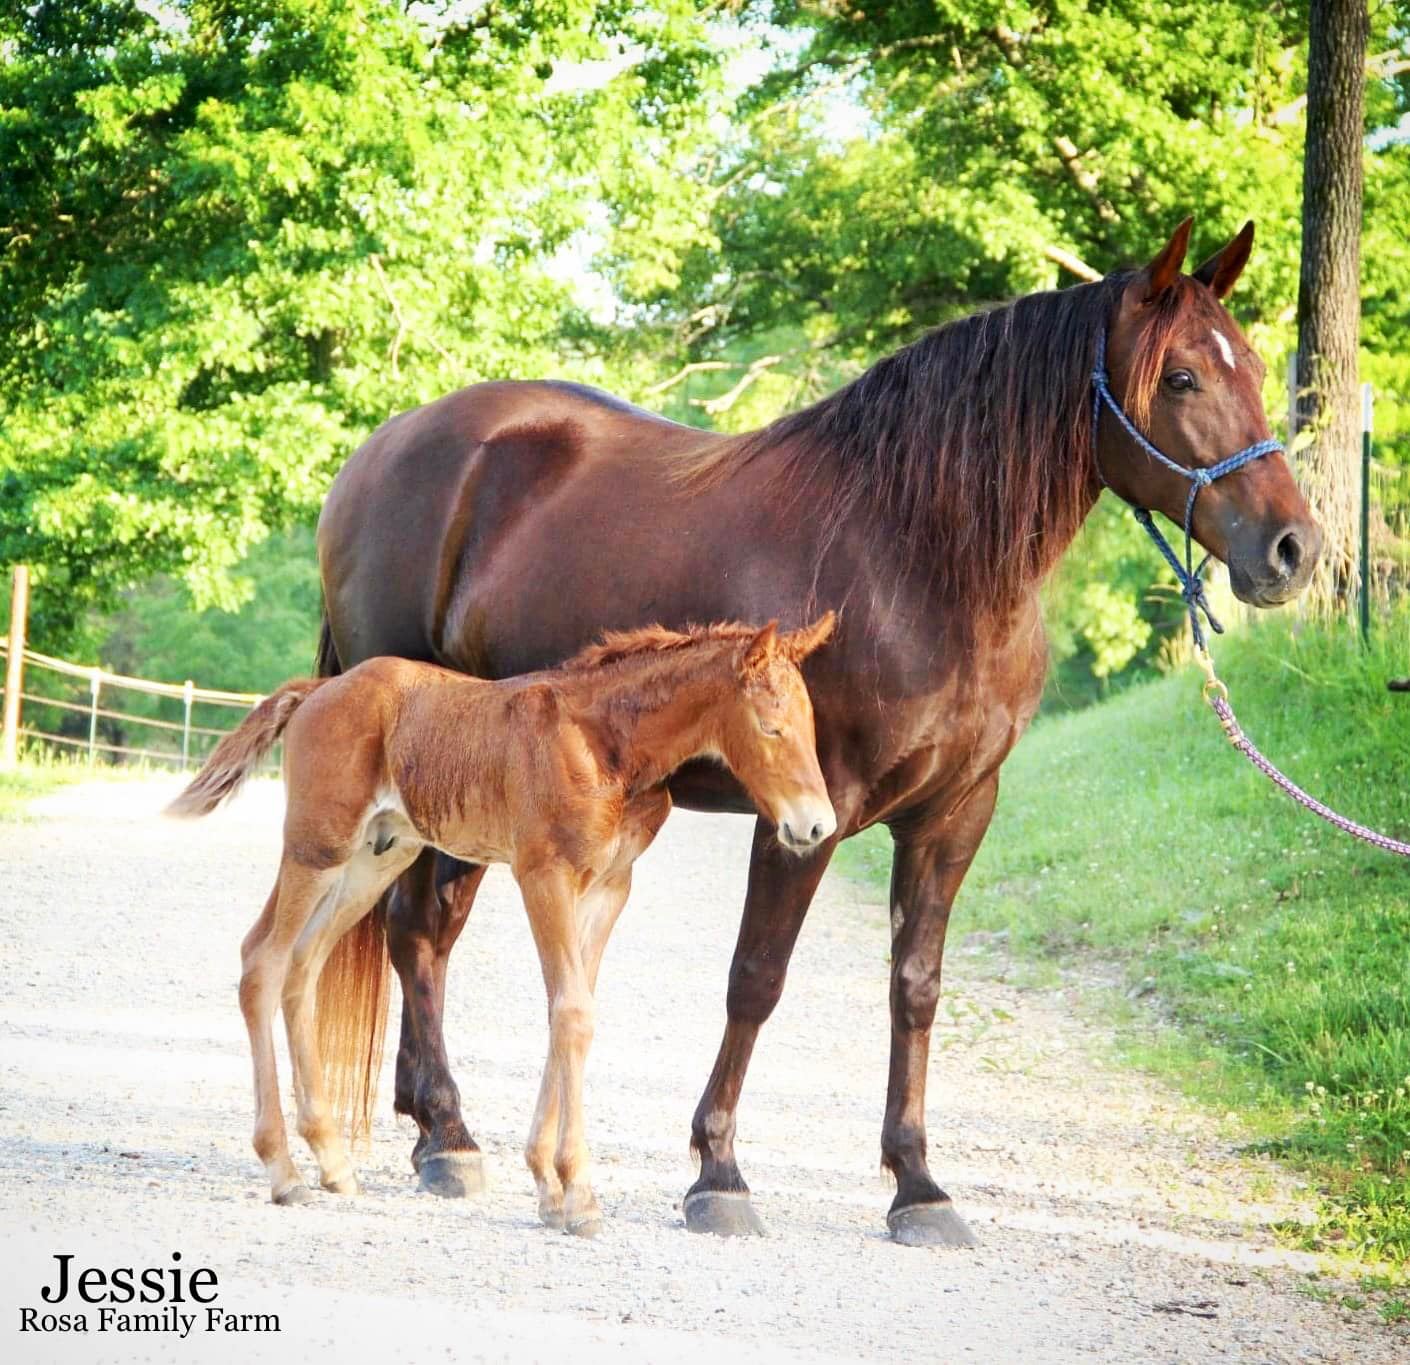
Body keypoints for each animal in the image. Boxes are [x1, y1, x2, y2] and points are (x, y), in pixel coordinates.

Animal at [167, 616, 836, 1232]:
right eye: (770, 726)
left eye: (812, 726)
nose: (816, 826)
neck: (603, 742)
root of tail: (316, 691)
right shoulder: (543, 875)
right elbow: (573, 1012)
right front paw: (578, 1195)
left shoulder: (608, 888)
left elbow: (569, 1011)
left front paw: (547, 1185)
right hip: (318, 847)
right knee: (263, 959)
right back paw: (283, 1171)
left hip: (377, 858)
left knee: (302, 966)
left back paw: (332, 1161)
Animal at [314, 219, 1321, 1246]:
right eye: (1182, 377)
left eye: (1256, 367)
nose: (1293, 549)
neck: (915, 558)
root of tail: (384, 451)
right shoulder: (805, 812)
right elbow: (756, 976)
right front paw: (718, 1172)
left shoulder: (956, 814)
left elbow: (915, 986)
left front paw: (918, 1184)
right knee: (416, 928)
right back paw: (445, 1135)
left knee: (425, 929)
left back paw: (438, 1127)